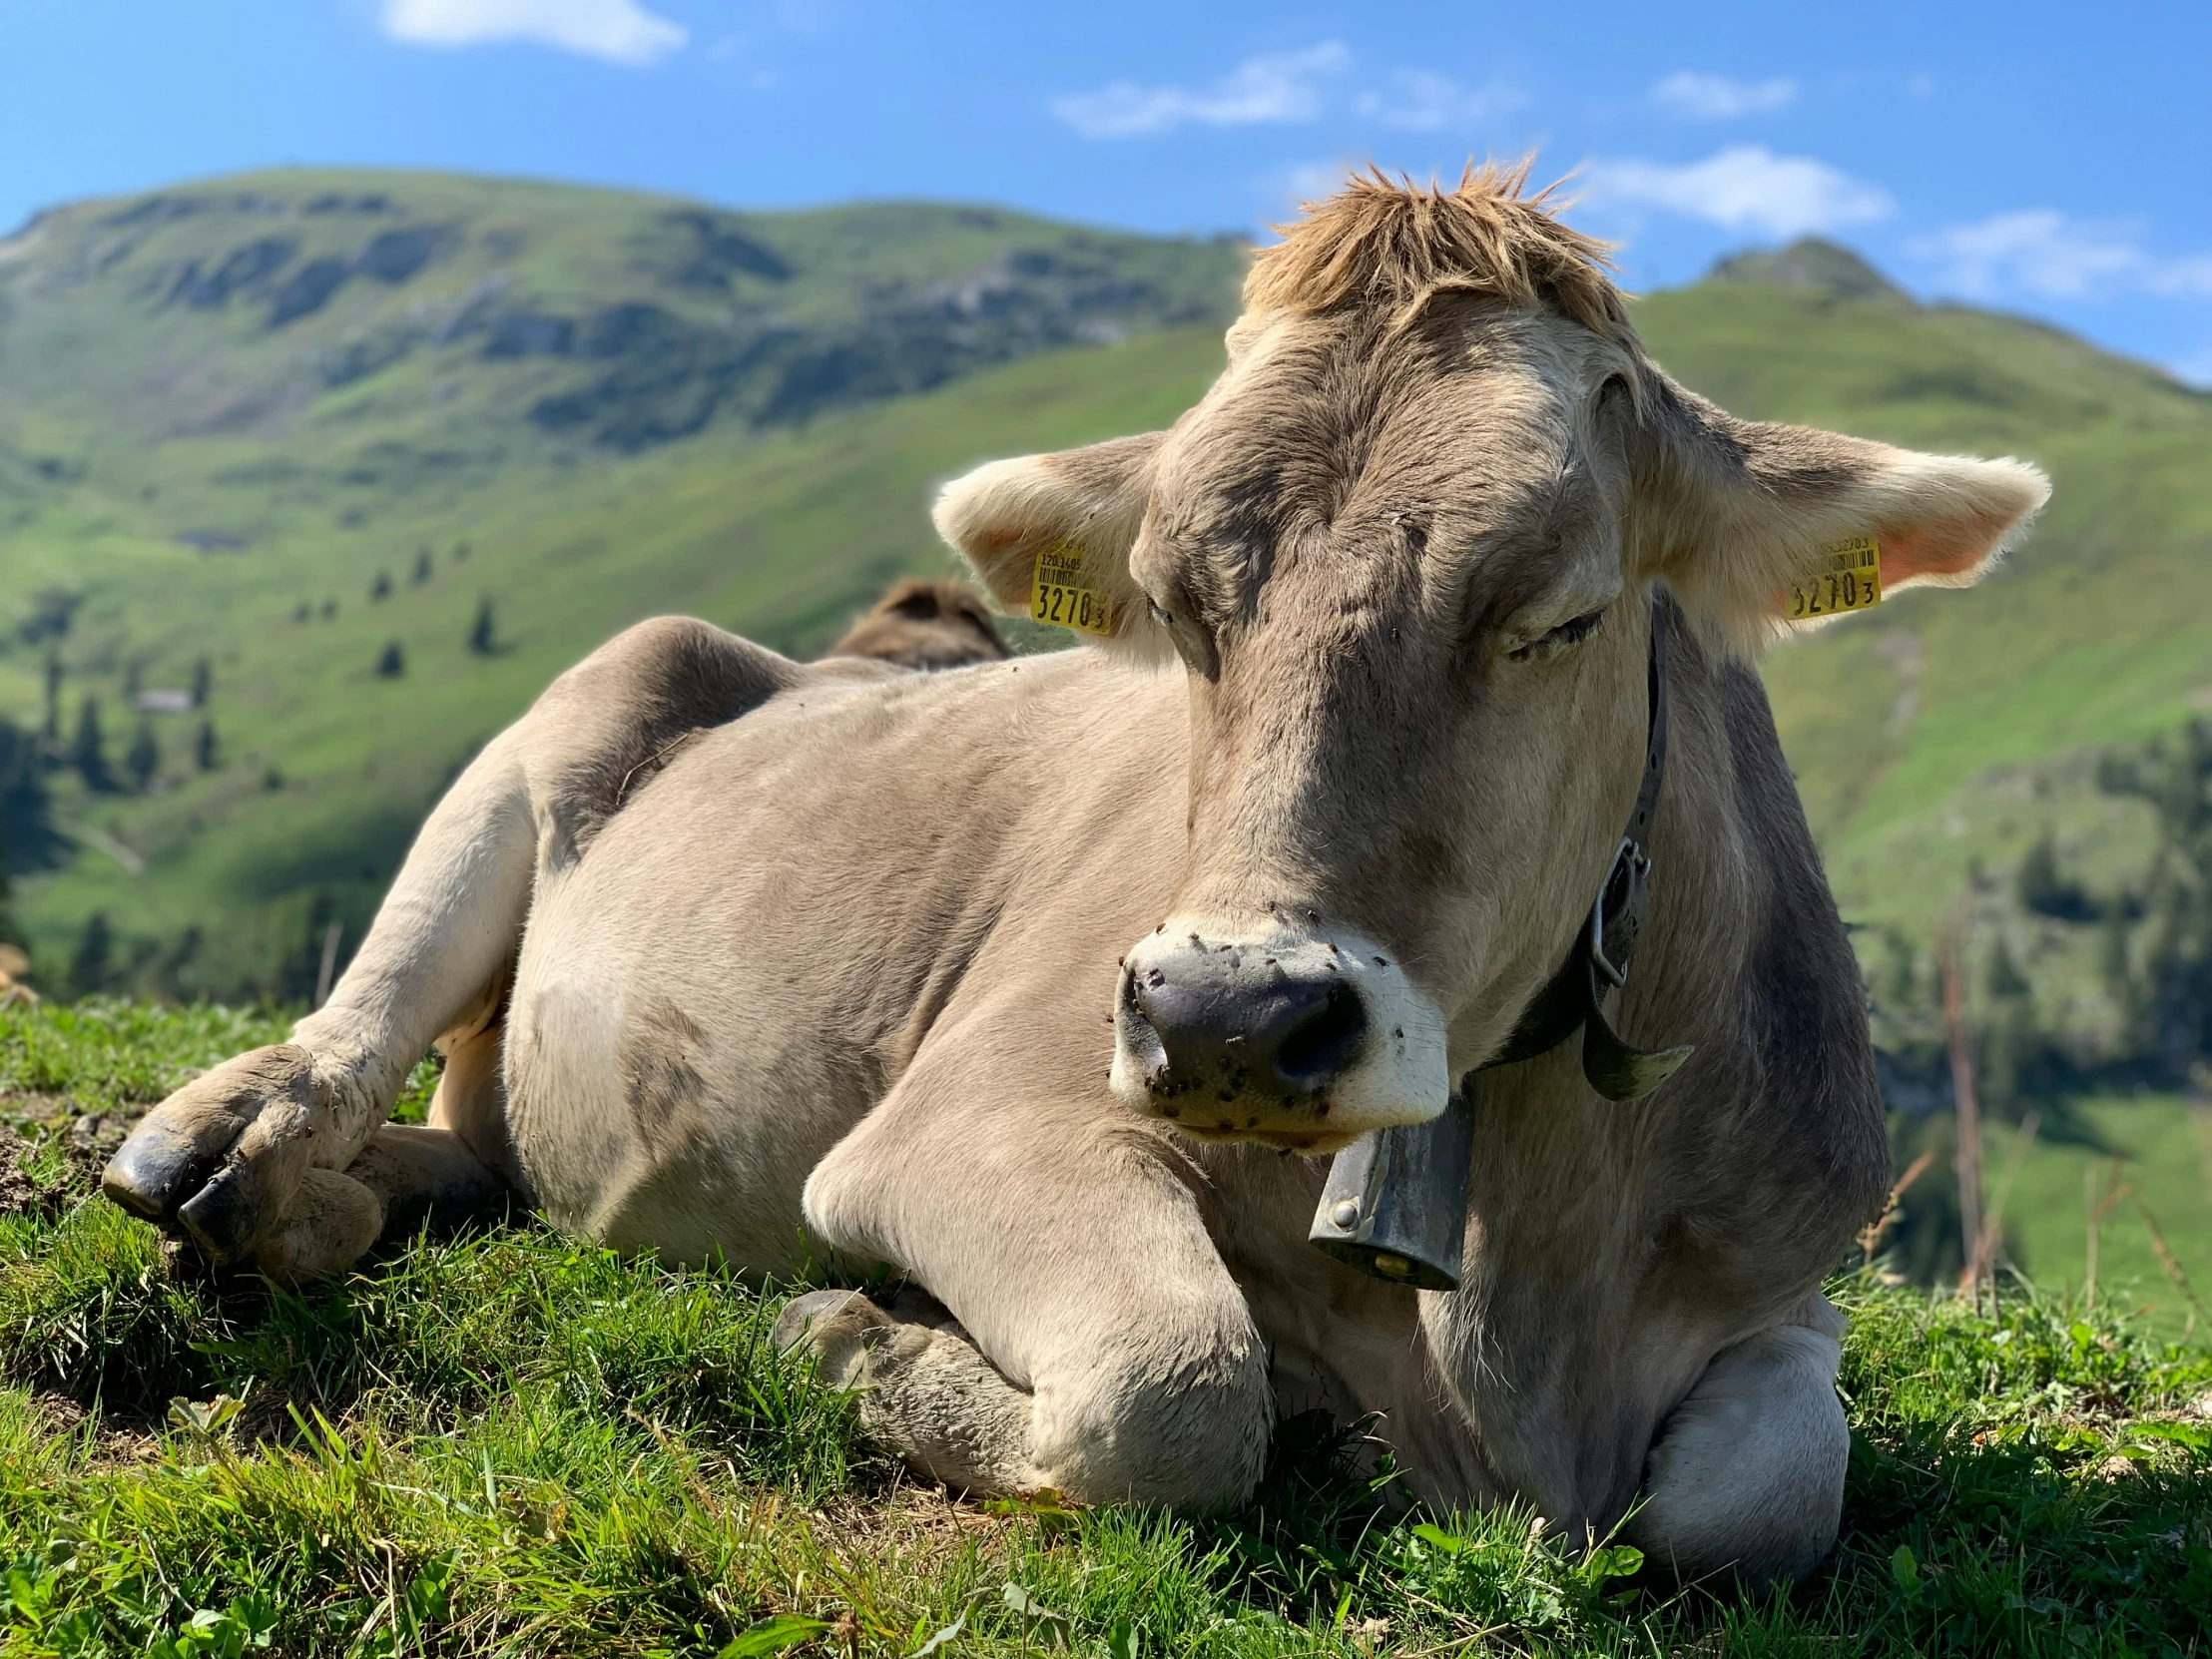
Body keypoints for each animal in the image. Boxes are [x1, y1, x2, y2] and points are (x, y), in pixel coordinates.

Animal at [99, 166, 2034, 1583]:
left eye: (1558, 614)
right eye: (1179, 609)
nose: (1232, 1015)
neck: (1519, 1295)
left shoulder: (1786, 1277)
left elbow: (1757, 1494)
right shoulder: (968, 1122)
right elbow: (1177, 1386)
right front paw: (853, 1340)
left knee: (470, 1155)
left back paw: (344, 1205)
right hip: (560, 725)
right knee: (350, 1027)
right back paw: (236, 1153)